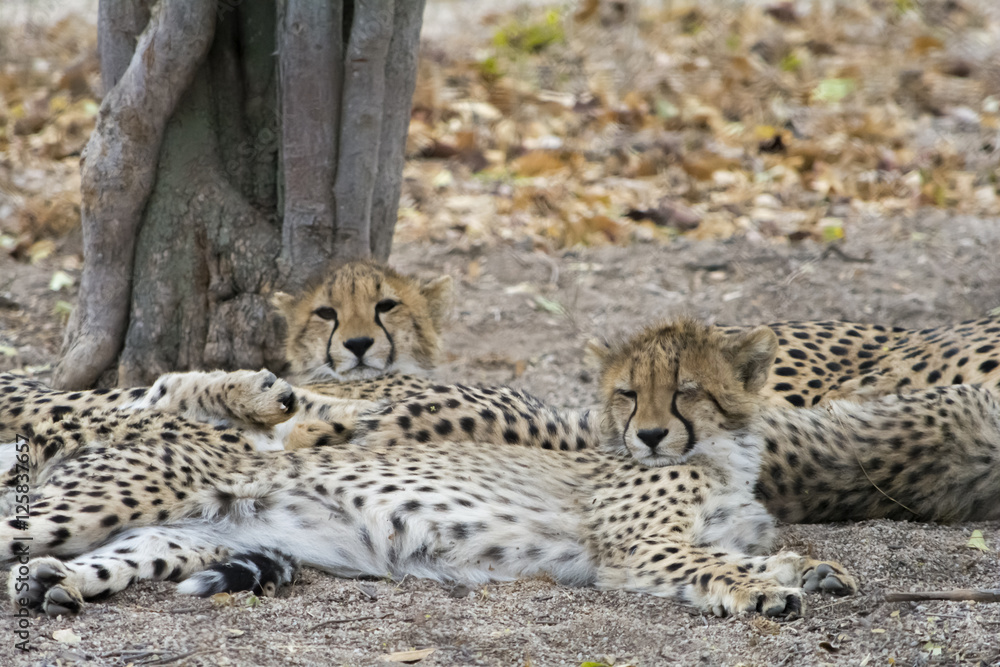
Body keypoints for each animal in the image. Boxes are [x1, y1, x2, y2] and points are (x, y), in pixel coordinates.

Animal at [2, 325, 856, 619]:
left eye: (685, 390)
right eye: (626, 392)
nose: (648, 434)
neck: (723, 452)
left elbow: (753, 550)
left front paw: (809, 568)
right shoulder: (641, 546)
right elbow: (714, 562)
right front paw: (768, 589)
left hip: (183, 536)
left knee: (93, 560)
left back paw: (56, 585)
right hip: (103, 499)